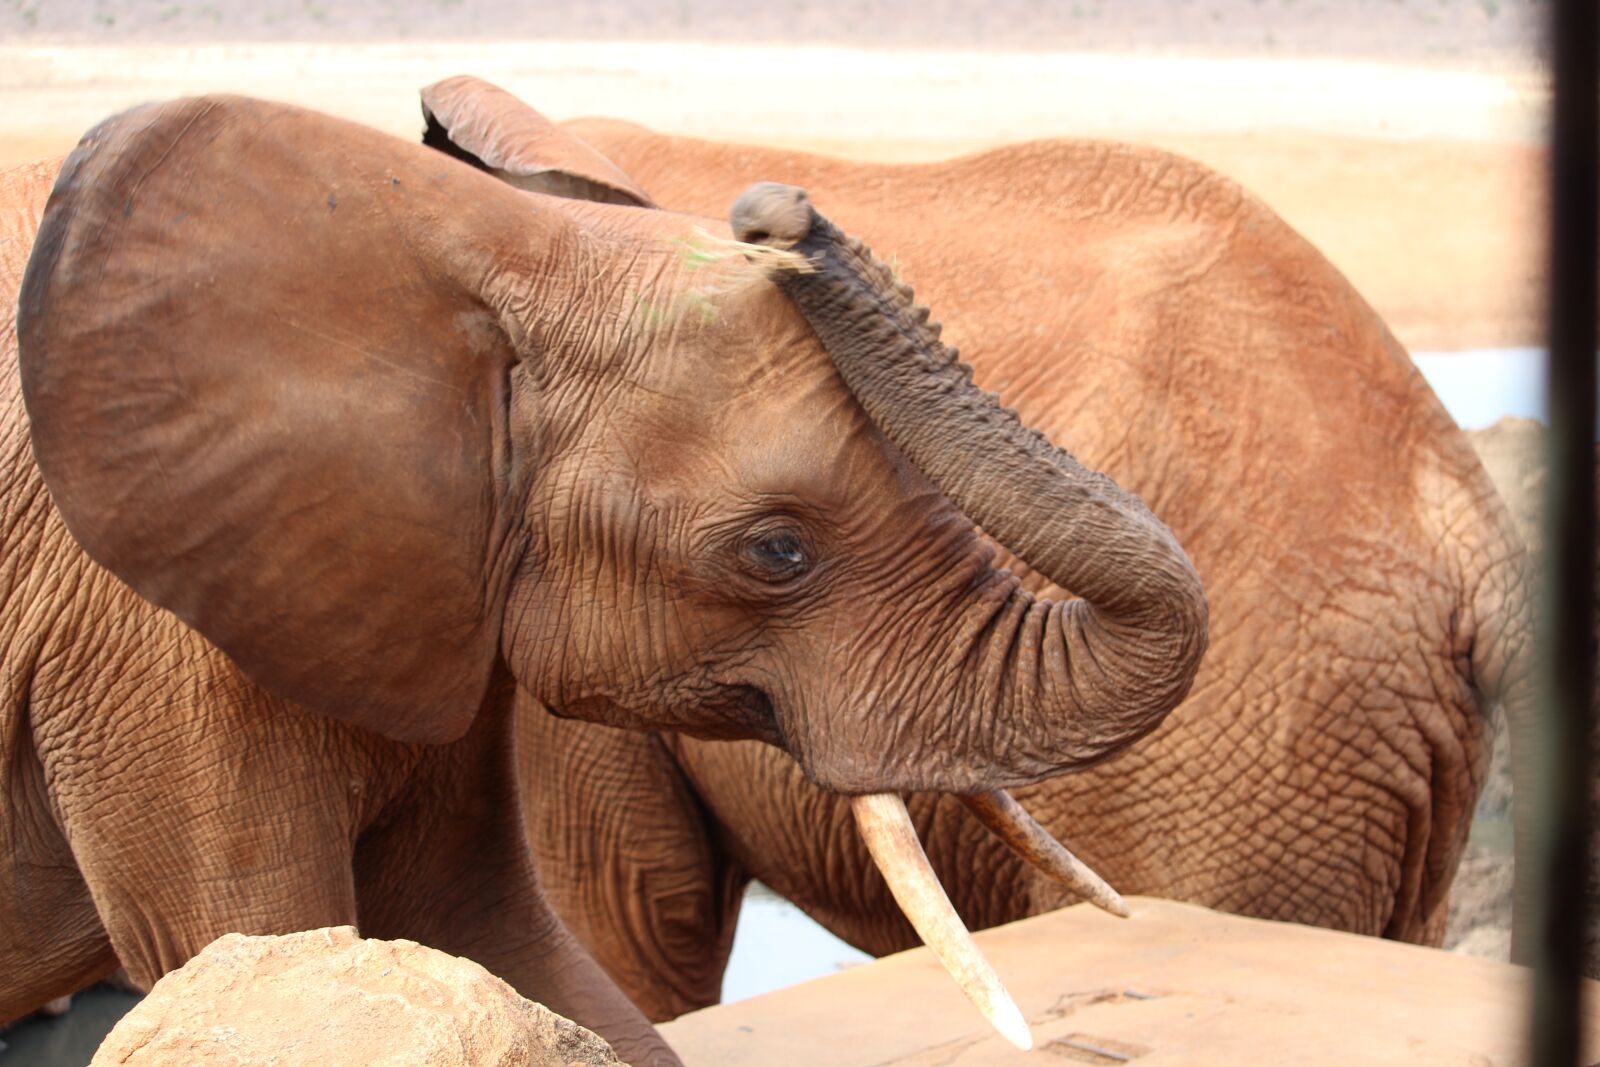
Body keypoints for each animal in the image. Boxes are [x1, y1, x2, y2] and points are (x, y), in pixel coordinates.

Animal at [0, 90, 1210, 1061]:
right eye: (777, 551)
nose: (772, 212)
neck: (477, 246)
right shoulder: (147, 647)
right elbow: (261, 936)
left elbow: (486, 930)